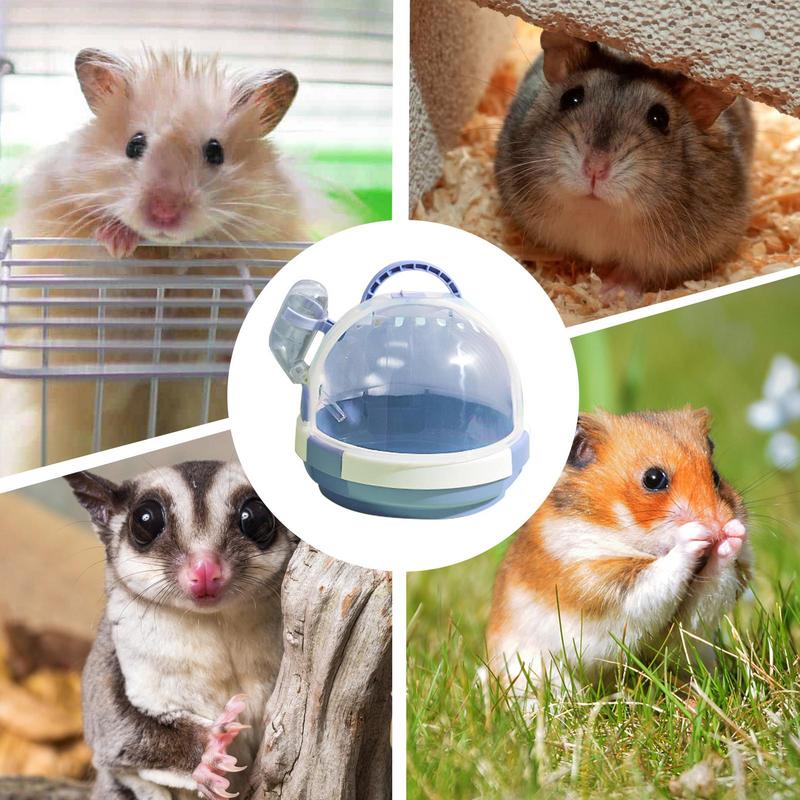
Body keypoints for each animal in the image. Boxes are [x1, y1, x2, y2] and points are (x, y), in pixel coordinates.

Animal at [67, 461, 297, 800]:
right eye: (145, 521)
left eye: (255, 517)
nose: (205, 569)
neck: (215, 619)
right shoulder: (116, 657)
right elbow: (114, 733)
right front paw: (209, 749)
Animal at [487, 409, 753, 689]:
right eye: (653, 479)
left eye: (715, 476)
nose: (719, 524)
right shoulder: (600, 584)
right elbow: (659, 575)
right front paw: (694, 535)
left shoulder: (689, 619)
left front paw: (733, 533)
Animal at [495, 32, 755, 289]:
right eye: (571, 98)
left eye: (660, 118)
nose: (595, 169)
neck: (596, 213)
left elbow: (635, 275)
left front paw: (607, 291)